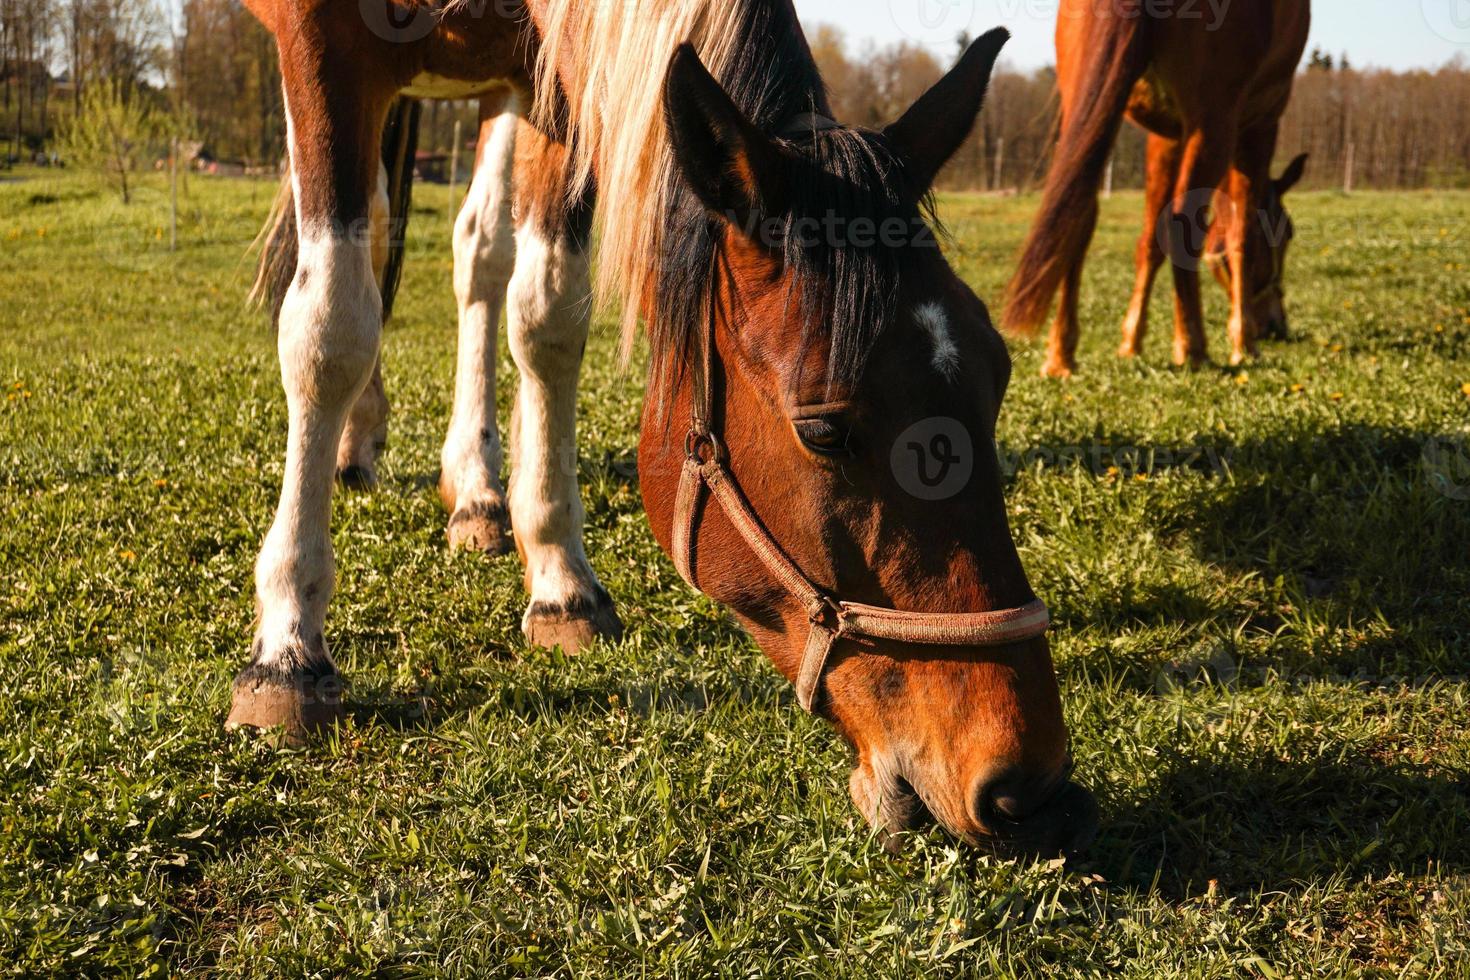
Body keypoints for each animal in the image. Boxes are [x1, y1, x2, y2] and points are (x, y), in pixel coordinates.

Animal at [229, 0, 1099, 858]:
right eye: (823, 430)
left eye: (999, 373)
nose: (1028, 782)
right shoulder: (318, 38)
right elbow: (329, 326)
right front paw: (288, 644)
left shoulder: (548, 82)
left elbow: (546, 312)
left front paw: (559, 579)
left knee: (476, 248)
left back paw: (472, 492)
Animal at [1005, 0, 1317, 379]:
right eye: (1287, 235)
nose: (1275, 325)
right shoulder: (1259, 126)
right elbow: (1241, 236)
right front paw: (1243, 344)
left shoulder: (1166, 136)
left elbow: (1150, 243)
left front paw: (1130, 342)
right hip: (1213, 125)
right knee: (1184, 225)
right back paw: (1194, 347)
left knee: (1076, 215)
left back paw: (1061, 355)